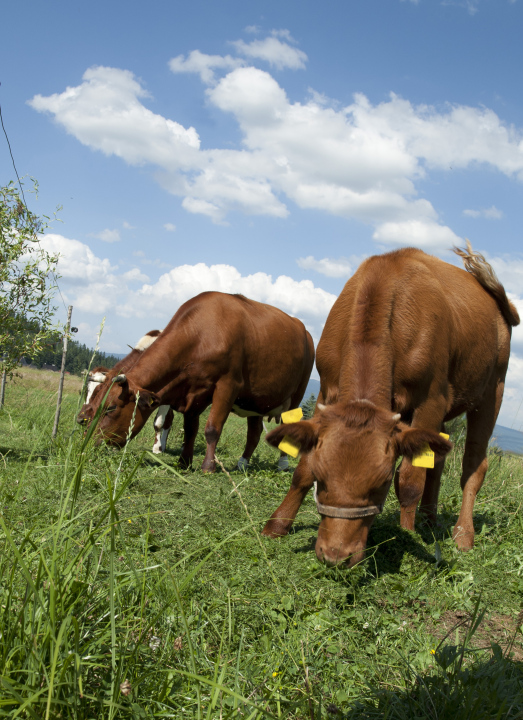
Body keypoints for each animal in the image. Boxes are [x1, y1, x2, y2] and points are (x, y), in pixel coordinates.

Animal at [85, 292, 316, 472]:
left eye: (111, 408)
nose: (92, 442)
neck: (201, 335)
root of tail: (304, 329)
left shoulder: (228, 385)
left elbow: (212, 428)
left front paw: (208, 467)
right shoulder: (193, 390)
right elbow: (190, 428)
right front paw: (184, 462)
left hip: (297, 394)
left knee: (288, 424)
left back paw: (282, 464)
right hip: (257, 400)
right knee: (254, 432)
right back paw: (242, 463)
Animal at [266, 245, 520, 564]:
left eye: (382, 483)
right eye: (321, 479)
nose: (336, 555)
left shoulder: (431, 400)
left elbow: (410, 479)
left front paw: (405, 533)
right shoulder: (326, 390)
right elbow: (302, 468)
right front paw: (277, 524)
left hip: (492, 390)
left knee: (473, 464)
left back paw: (463, 534)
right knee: (438, 459)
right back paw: (429, 520)